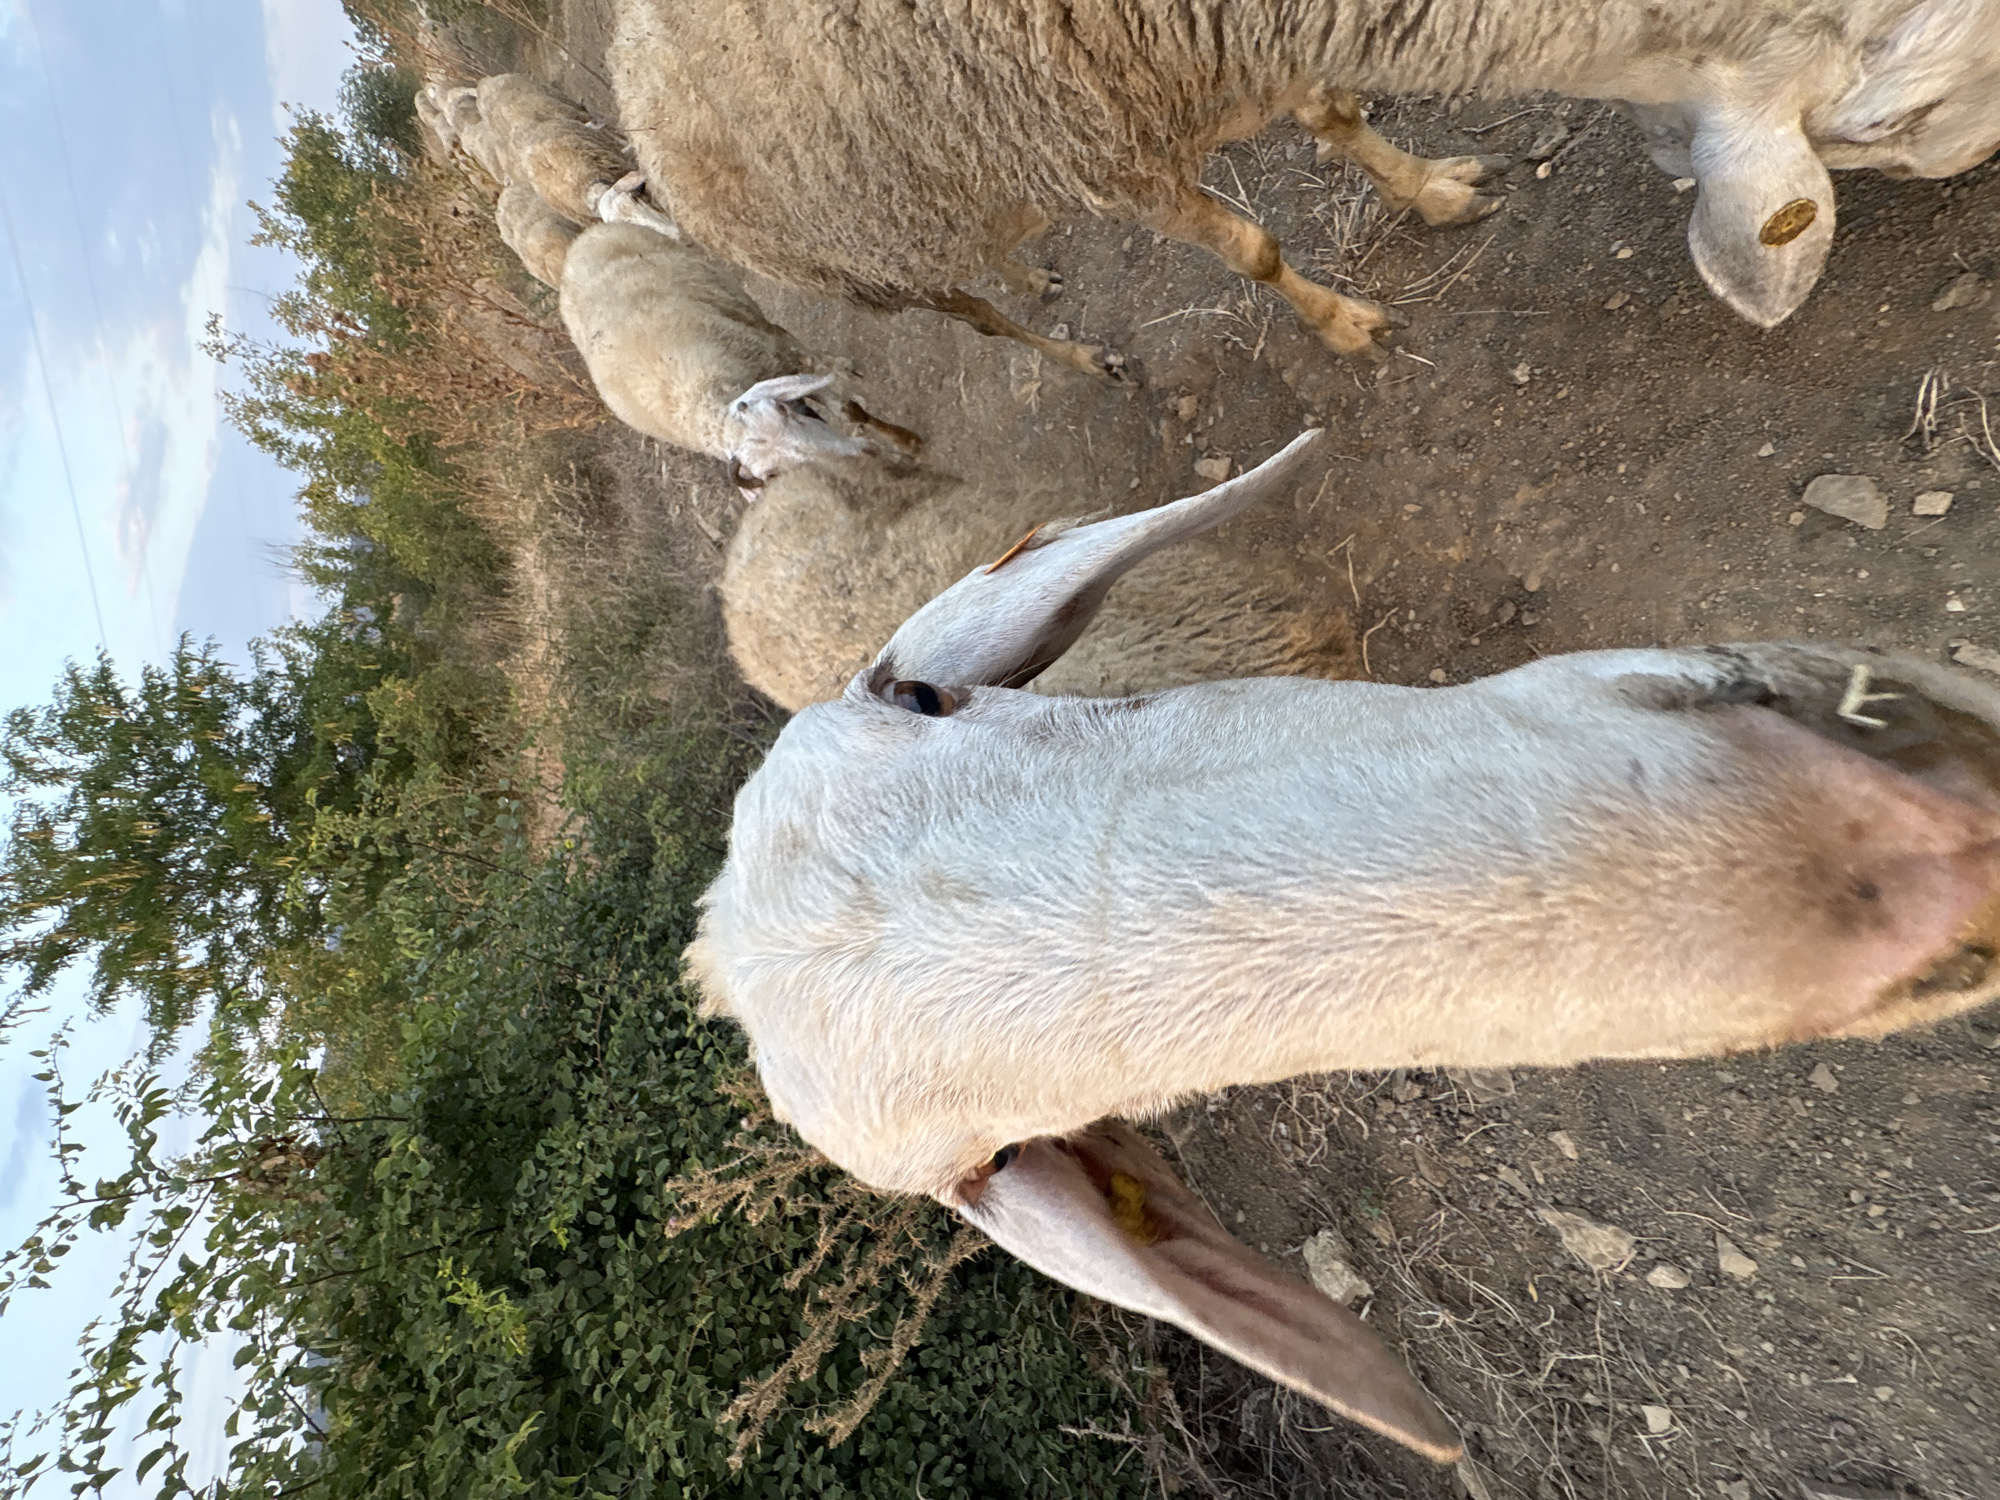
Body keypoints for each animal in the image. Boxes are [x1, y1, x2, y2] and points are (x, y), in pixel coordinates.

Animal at [608, 0, 2000, 375]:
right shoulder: (1118, 158)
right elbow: (1251, 252)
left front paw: (1434, 193)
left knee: (993, 254)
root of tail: (625, 66)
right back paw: (1071, 353)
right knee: (975, 316)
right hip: (873, 275)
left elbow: (1336, 116)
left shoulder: (1237, 67)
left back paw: (1032, 261)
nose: (1980, 168)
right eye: (1896, 116)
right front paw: (1340, 324)